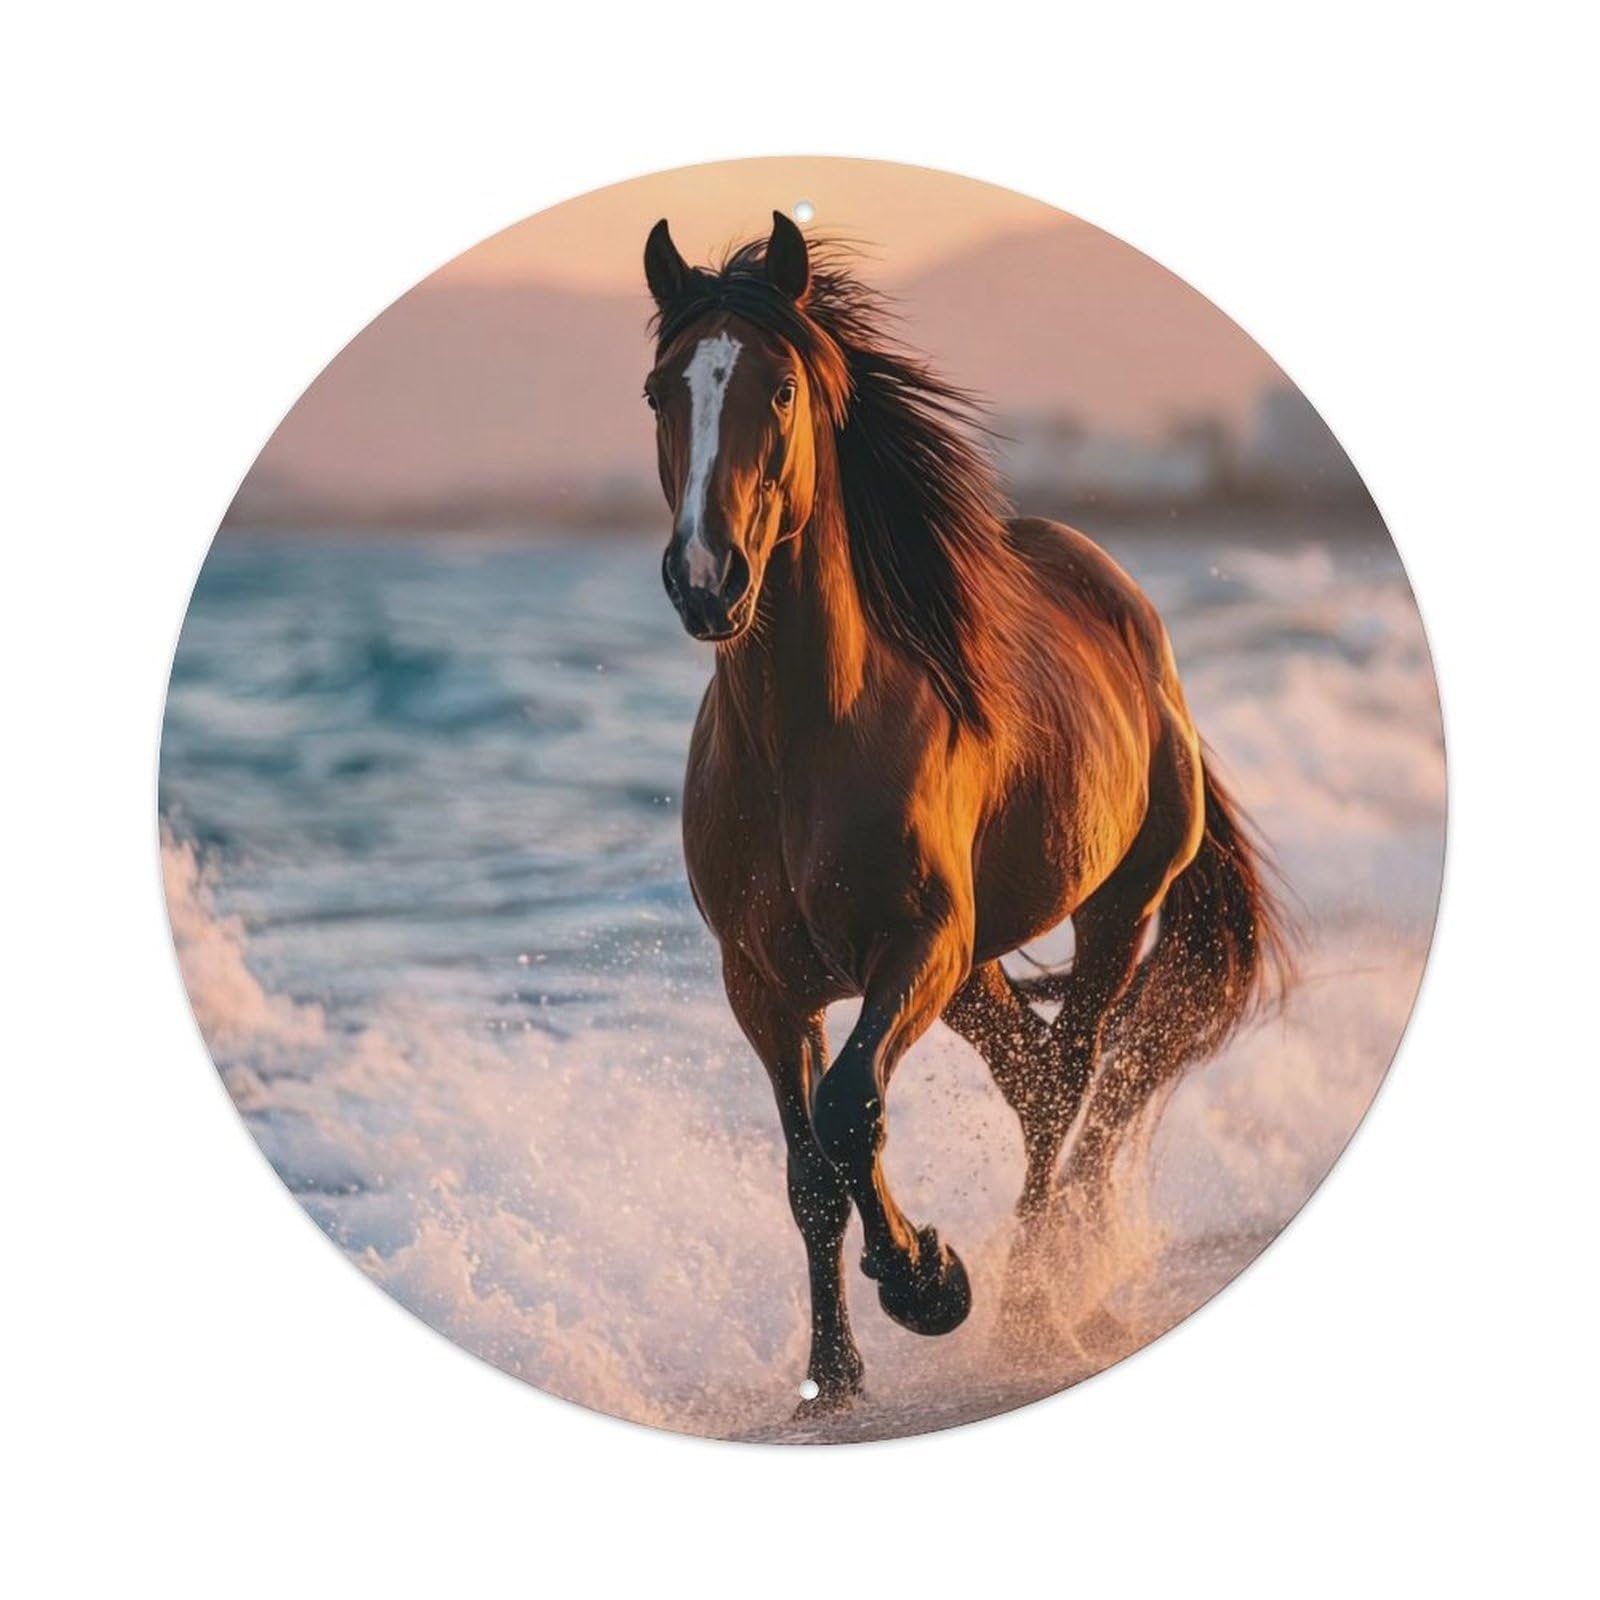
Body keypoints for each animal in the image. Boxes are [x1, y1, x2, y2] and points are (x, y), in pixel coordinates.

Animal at [642, 211, 1293, 1409]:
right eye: (663, 389)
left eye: (781, 389)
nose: (708, 579)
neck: (805, 742)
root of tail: (1136, 622)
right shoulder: (761, 981)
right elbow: (808, 1170)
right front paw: (833, 1375)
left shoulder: (914, 945)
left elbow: (850, 1109)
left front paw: (928, 1285)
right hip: (977, 964)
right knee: (1035, 1080)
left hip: (1107, 912)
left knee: (1072, 1080)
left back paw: (1036, 1295)